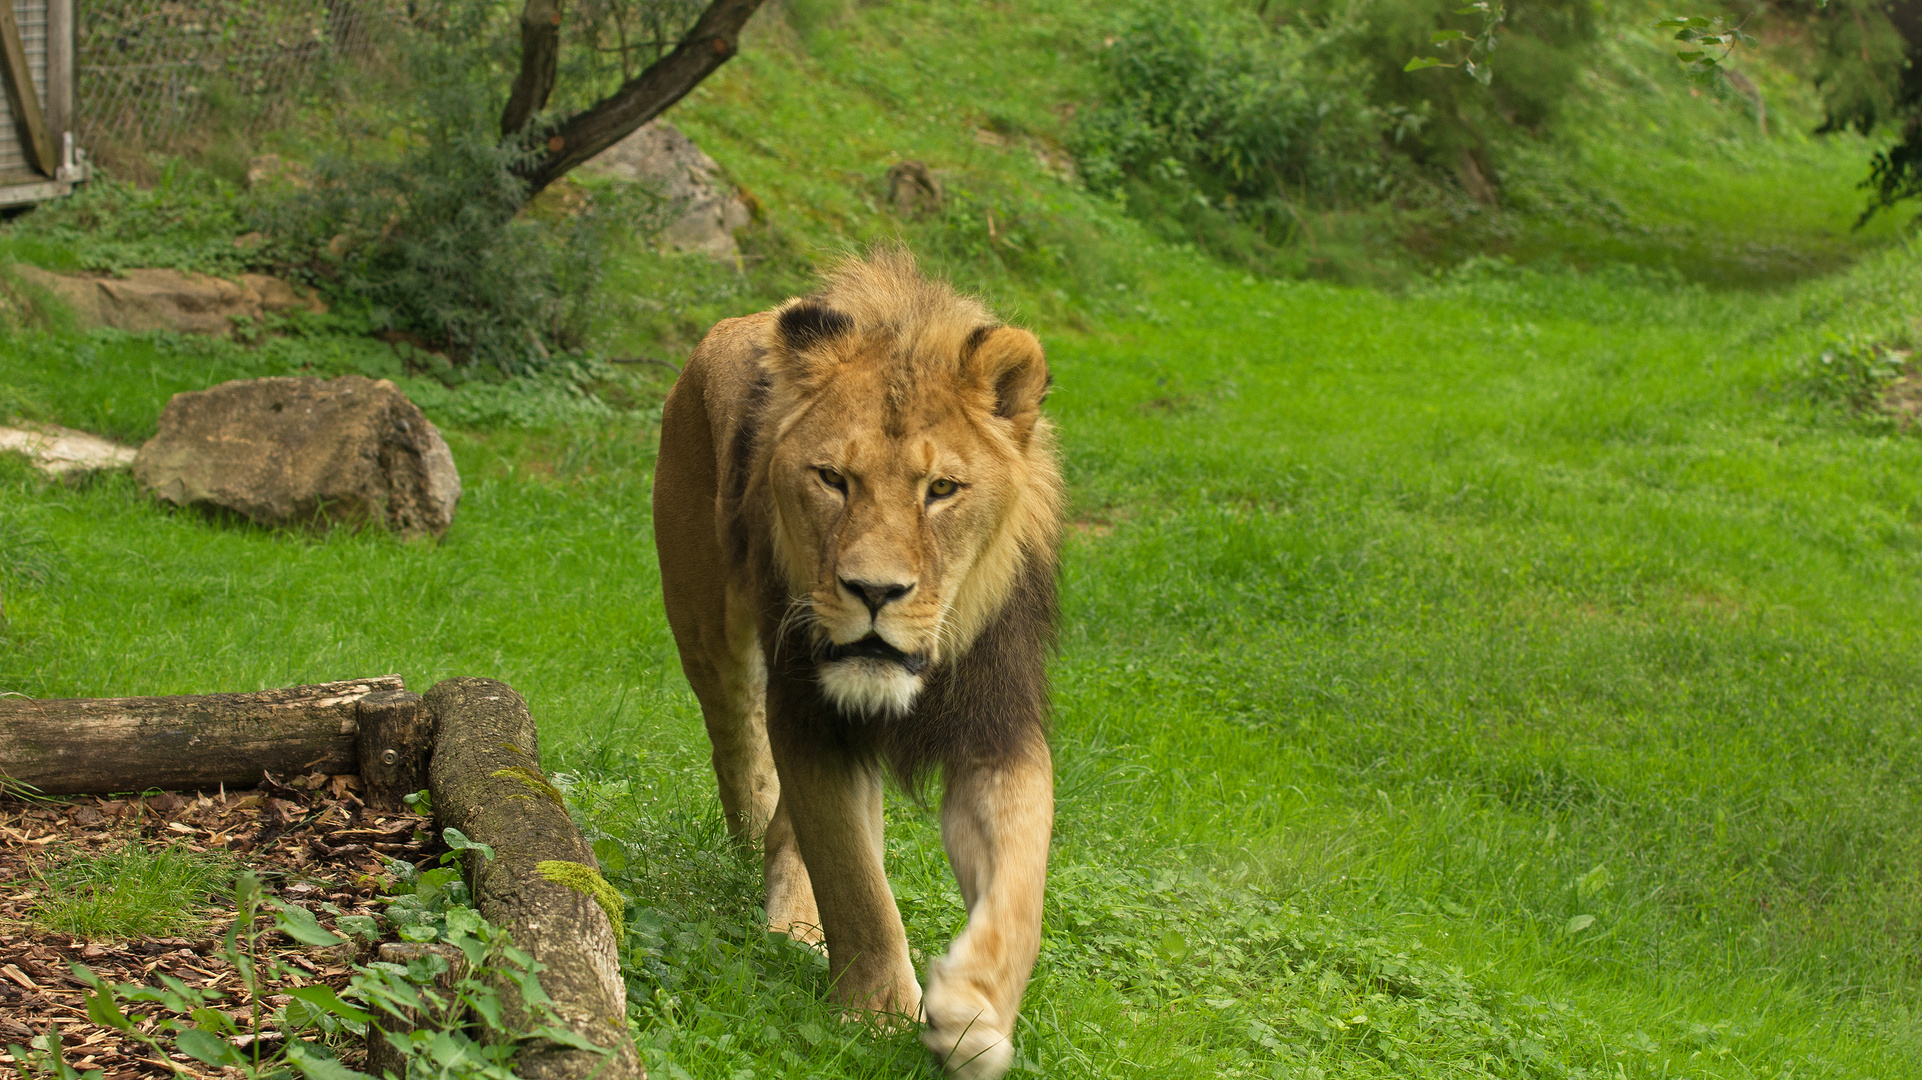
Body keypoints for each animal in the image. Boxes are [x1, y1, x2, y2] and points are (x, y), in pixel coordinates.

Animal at [653, 247, 1060, 1068]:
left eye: (942, 489)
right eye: (833, 479)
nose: (875, 591)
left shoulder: (997, 729)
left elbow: (1021, 884)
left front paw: (974, 1012)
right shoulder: (812, 716)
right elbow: (855, 883)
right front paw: (875, 1016)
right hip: (710, 633)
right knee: (742, 757)